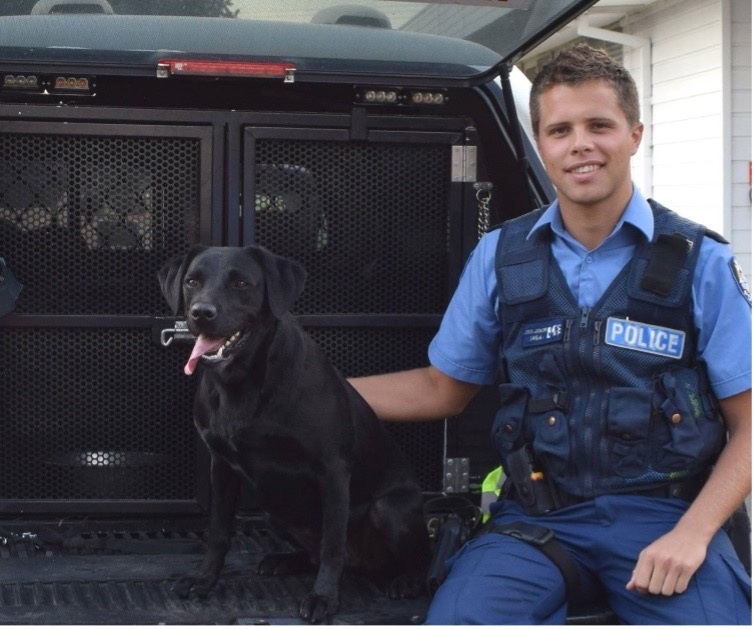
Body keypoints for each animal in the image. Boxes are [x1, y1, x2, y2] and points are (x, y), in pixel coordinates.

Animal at [159, 244, 428, 620]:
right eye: (192, 282)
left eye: (242, 283)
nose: (201, 312)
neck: (242, 385)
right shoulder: (221, 466)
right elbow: (218, 533)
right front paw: (204, 580)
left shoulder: (333, 471)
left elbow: (333, 544)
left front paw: (324, 597)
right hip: (275, 511)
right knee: (312, 554)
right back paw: (284, 560)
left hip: (390, 509)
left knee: (421, 558)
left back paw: (407, 580)